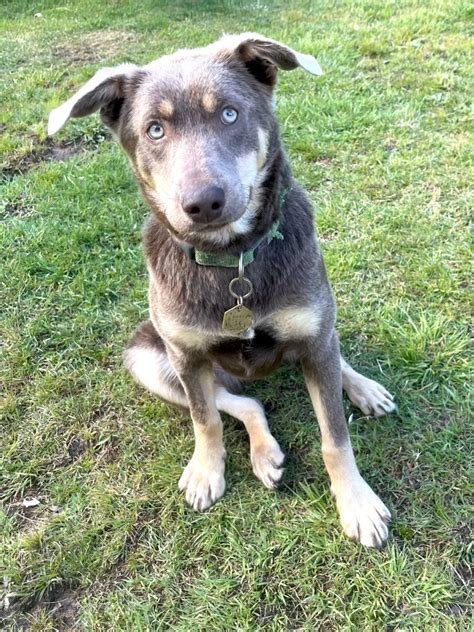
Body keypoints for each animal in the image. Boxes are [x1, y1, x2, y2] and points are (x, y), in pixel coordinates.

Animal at [49, 33, 396, 548]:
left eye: (230, 114)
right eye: (155, 129)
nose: (203, 202)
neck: (232, 259)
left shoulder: (313, 335)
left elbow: (335, 437)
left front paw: (356, 502)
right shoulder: (185, 356)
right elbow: (205, 419)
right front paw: (206, 471)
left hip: (316, 334)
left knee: (332, 359)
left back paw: (363, 388)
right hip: (149, 360)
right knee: (242, 402)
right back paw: (264, 453)